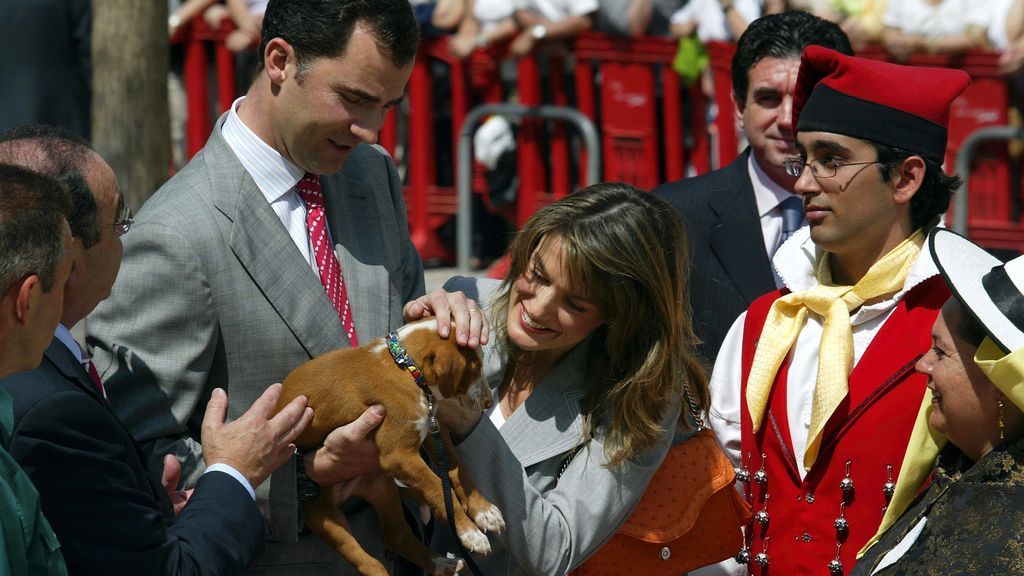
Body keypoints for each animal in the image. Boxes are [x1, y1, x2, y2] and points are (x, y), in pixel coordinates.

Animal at [278, 315, 505, 569]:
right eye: (473, 370)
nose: (488, 402)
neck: (405, 366)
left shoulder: (431, 430)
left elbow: (457, 469)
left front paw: (483, 511)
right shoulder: (398, 455)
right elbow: (437, 485)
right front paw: (470, 533)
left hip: (382, 487)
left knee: (395, 536)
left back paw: (441, 565)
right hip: (323, 517)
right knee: (367, 562)